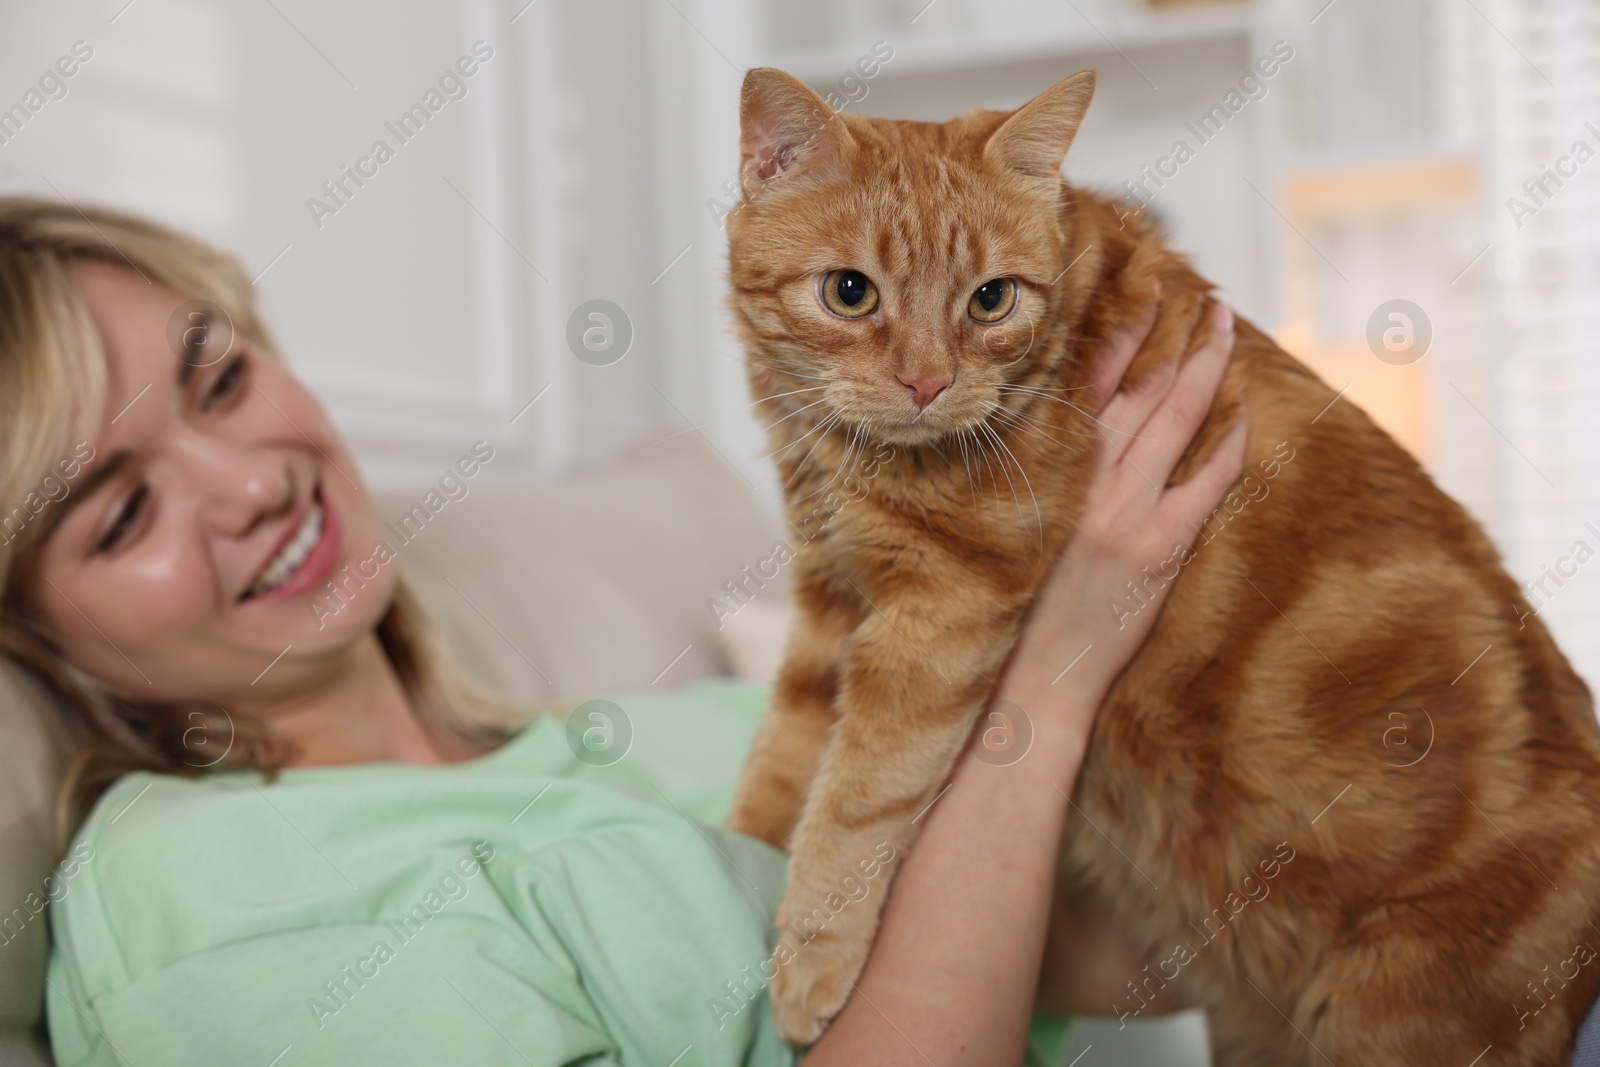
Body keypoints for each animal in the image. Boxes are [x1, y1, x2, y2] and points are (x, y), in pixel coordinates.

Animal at [729, 68, 1600, 1067]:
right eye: (849, 292)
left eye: (991, 300)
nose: (927, 383)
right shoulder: (828, 602)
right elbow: (784, 757)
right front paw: (739, 852)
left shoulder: (943, 608)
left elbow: (858, 798)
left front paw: (809, 958)